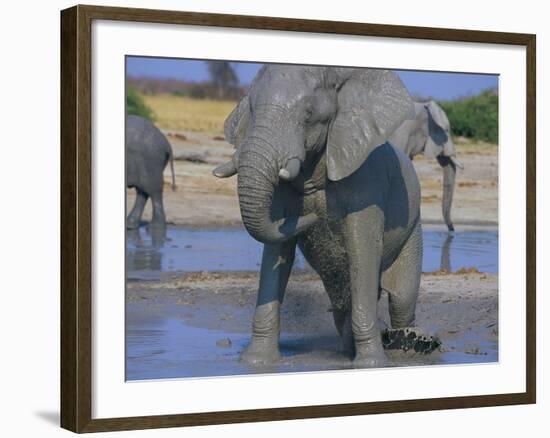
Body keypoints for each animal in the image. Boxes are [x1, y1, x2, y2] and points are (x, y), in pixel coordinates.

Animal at [213, 64, 424, 366]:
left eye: (309, 115)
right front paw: (255, 361)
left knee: (402, 299)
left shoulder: (368, 177)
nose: (313, 217)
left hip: (413, 228)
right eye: (251, 109)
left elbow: (362, 249)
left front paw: (370, 363)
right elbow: (277, 251)